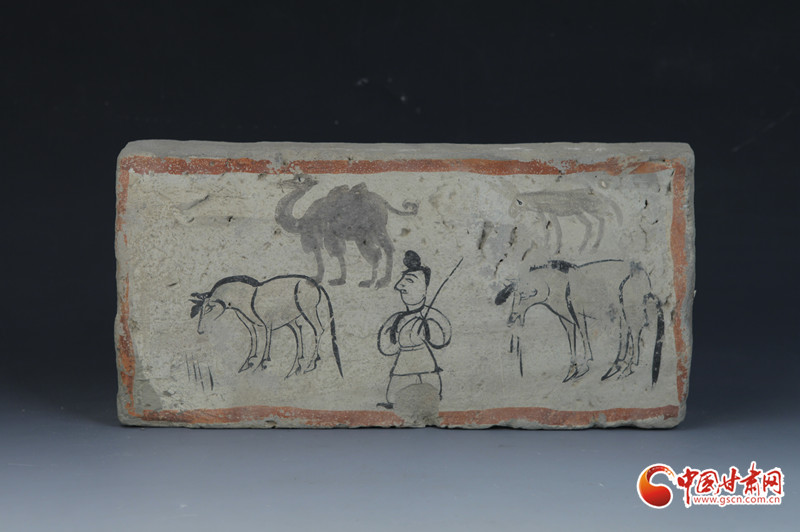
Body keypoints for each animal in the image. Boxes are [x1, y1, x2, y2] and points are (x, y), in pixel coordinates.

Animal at [190, 274, 342, 378]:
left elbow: (267, 340)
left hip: (308, 310)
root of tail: (315, 284)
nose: (200, 330)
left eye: (208, 309)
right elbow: (254, 339)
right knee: (299, 332)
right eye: (200, 310)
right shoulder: (251, 324)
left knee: (318, 329)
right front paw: (248, 362)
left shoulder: (268, 323)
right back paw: (296, 366)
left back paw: (311, 363)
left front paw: (262, 363)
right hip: (292, 318)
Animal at [495, 259, 663, 385]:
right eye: (515, 295)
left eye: (524, 295)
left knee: (634, 333)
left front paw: (583, 366)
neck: (559, 286)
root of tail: (645, 280)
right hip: (622, 312)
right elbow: (572, 340)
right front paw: (571, 371)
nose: (511, 319)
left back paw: (627, 368)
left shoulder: (578, 314)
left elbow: (584, 336)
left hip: (629, 308)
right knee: (627, 334)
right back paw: (615, 368)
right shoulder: (566, 319)